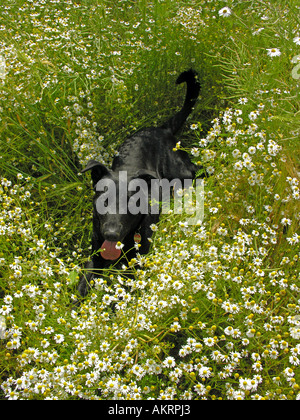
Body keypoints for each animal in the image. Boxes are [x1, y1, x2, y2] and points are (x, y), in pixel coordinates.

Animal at [78, 69, 199, 296]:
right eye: (104, 201)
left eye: (131, 204)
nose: (111, 234)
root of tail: (163, 129)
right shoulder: (95, 254)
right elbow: (82, 286)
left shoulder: (135, 266)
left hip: (183, 172)